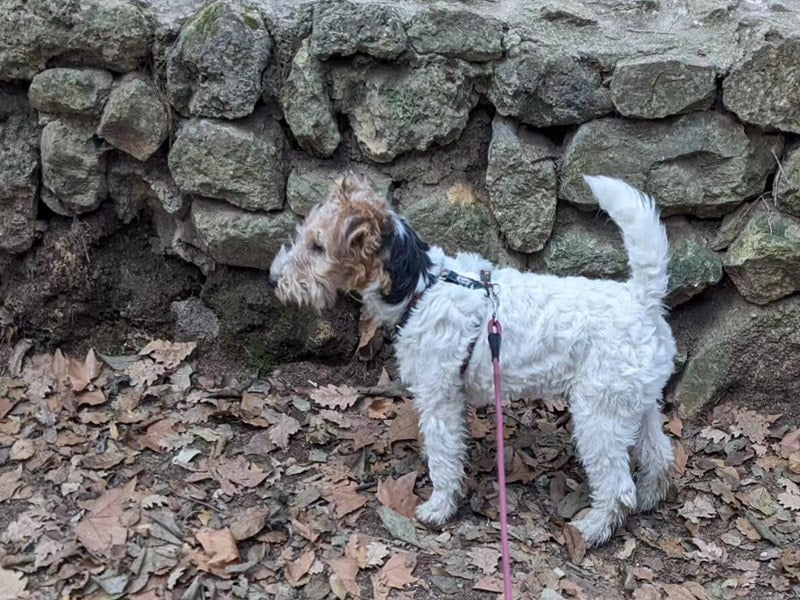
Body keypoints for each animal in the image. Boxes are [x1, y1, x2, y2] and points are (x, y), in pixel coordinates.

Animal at [270, 175, 676, 548]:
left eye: (318, 245)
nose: (275, 279)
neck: (420, 286)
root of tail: (643, 302)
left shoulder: (438, 398)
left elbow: (444, 458)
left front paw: (438, 507)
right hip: (636, 405)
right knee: (659, 455)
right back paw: (650, 498)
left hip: (598, 414)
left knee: (618, 487)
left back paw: (592, 529)